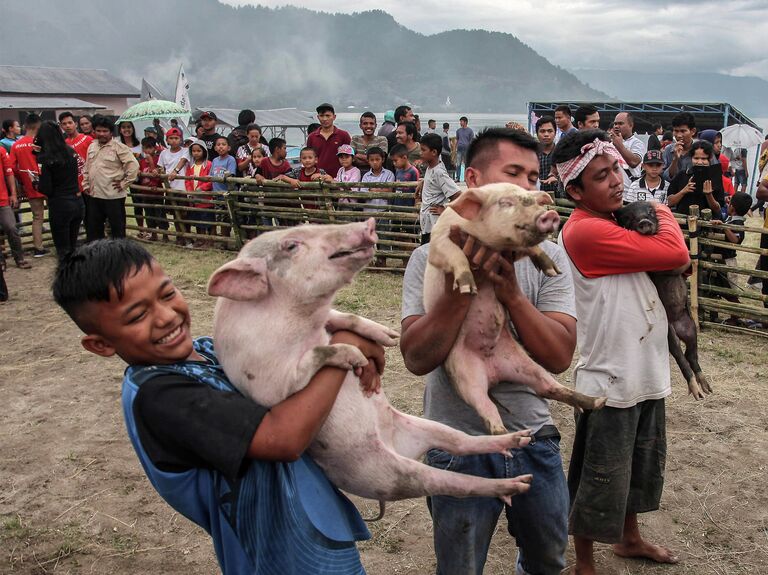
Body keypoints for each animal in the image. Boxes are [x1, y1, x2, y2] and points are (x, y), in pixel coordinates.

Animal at [207, 218, 536, 510]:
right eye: (290, 245)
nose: (368, 223)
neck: (304, 322)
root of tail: (395, 443)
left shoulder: (327, 318)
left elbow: (345, 317)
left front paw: (388, 337)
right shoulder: (268, 381)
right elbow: (312, 359)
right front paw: (357, 356)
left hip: (424, 426)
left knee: (462, 441)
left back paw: (517, 441)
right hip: (388, 474)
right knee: (455, 482)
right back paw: (518, 484)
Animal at [426, 184, 608, 436]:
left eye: (533, 199)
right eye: (505, 203)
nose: (550, 215)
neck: (493, 244)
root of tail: (493, 374)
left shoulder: (514, 251)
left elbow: (533, 248)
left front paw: (553, 271)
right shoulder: (439, 242)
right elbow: (457, 255)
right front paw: (468, 288)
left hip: (524, 363)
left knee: (548, 388)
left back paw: (599, 401)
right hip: (463, 373)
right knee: (487, 410)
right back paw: (510, 438)